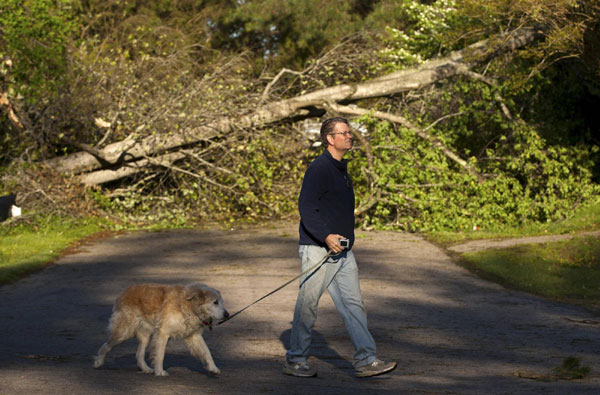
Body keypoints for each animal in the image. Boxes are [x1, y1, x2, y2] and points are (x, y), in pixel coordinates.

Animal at [94, 282, 230, 378]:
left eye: (222, 302)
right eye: (215, 302)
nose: (227, 315)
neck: (187, 306)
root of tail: (124, 292)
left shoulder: (194, 336)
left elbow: (207, 352)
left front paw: (213, 368)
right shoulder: (163, 333)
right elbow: (160, 354)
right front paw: (159, 371)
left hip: (145, 335)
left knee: (139, 354)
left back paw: (146, 369)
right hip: (124, 332)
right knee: (106, 345)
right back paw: (98, 362)